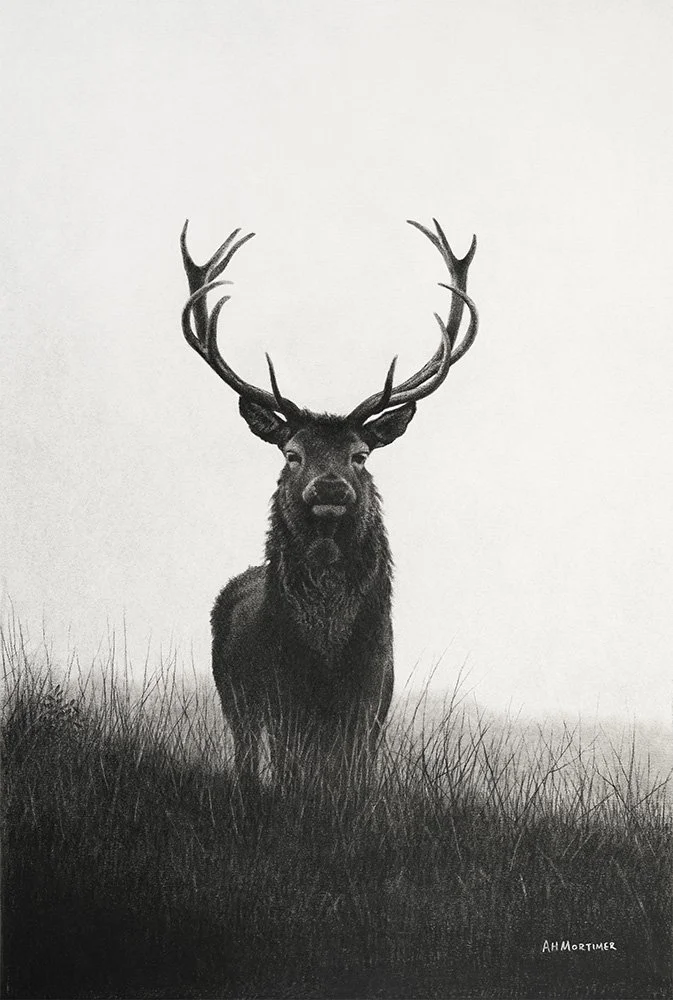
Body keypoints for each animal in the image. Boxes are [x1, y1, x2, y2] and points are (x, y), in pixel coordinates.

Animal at [180, 219, 478, 782]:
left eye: (360, 455)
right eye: (292, 453)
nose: (331, 488)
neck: (324, 654)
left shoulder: (371, 700)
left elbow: (353, 778)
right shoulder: (277, 696)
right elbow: (291, 774)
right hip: (232, 697)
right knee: (247, 758)